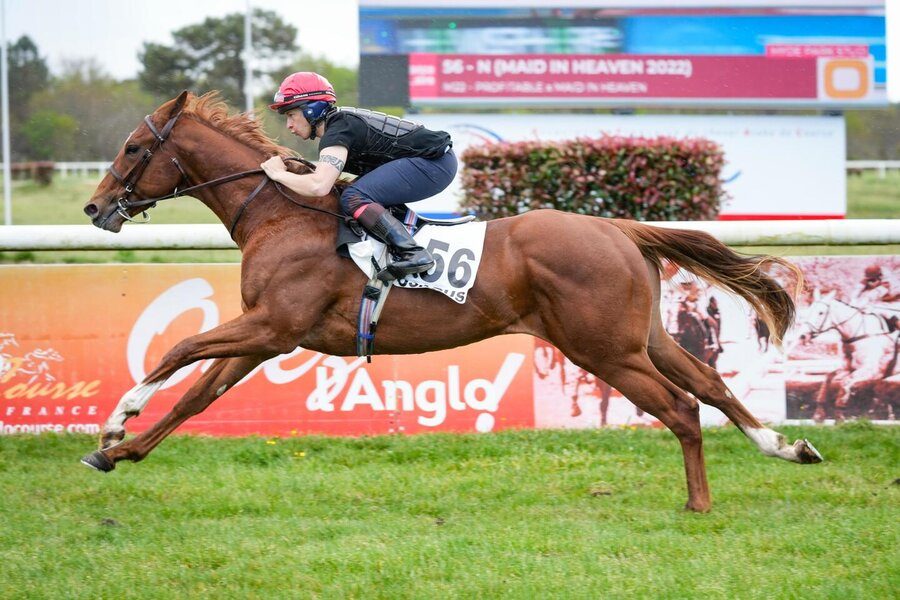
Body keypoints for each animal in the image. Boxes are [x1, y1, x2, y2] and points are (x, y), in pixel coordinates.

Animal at [80, 91, 822, 512]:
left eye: (135, 147)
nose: (93, 207)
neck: (279, 214)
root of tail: (619, 227)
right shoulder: (268, 335)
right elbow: (197, 396)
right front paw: (117, 452)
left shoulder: (268, 325)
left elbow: (178, 348)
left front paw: (115, 422)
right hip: (643, 337)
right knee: (708, 382)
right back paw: (786, 447)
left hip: (604, 348)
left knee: (681, 407)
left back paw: (699, 503)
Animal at [794, 291, 899, 421]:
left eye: (821, 312)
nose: (802, 336)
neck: (859, 336)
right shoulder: (848, 368)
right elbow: (828, 378)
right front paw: (819, 413)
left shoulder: (872, 371)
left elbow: (845, 384)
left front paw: (840, 415)